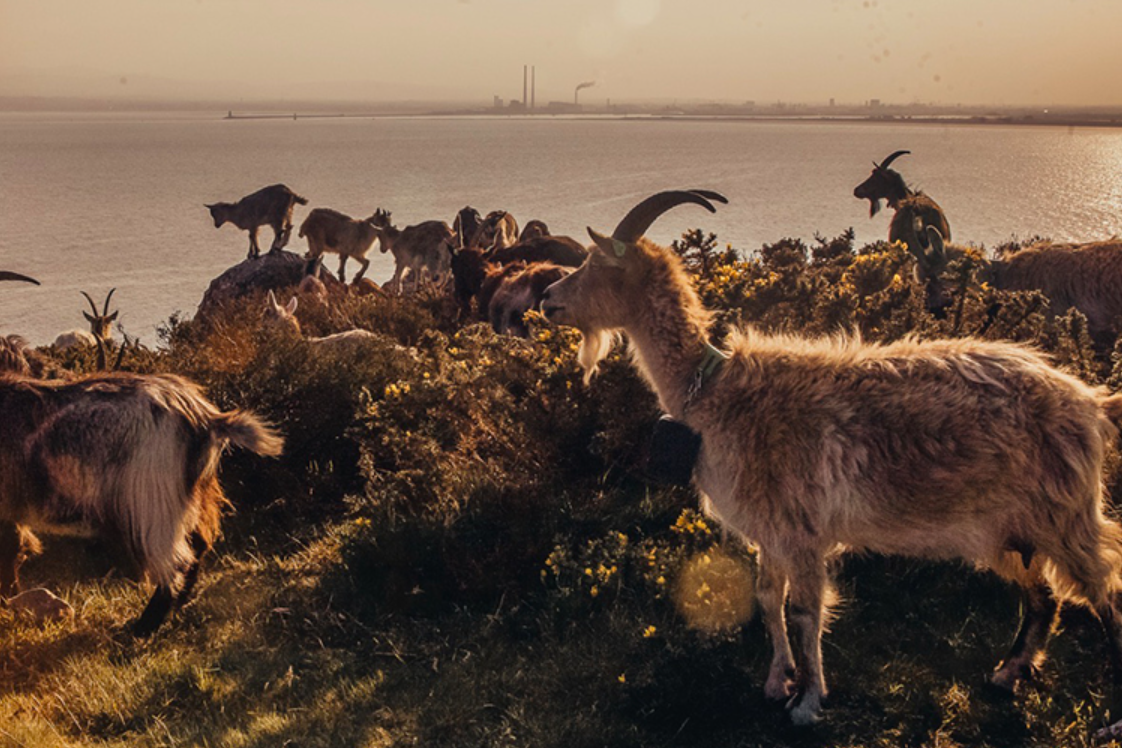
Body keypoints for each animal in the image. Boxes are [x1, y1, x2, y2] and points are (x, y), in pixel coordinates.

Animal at [0, 371, 283, 635]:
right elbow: (13, 548)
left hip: (152, 502)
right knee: (198, 545)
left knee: (176, 561)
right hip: (193, 497)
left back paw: (144, 626)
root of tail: (206, 420)